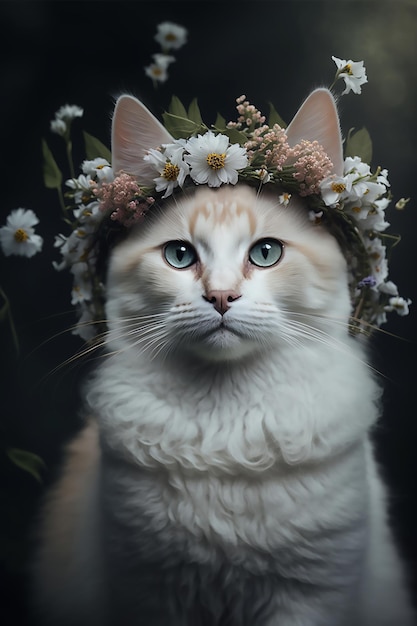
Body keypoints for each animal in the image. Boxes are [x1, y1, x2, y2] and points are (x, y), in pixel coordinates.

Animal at [31, 90, 412, 620]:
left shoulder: (311, 594)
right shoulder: (149, 591)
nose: (221, 297)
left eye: (266, 253)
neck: (226, 423)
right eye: (179, 256)